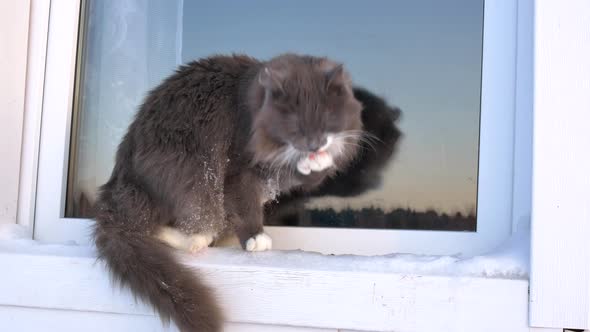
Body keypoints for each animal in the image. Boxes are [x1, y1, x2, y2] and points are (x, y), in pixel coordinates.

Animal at [93, 53, 366, 330]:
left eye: (327, 119)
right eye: (295, 125)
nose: (315, 144)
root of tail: (116, 190)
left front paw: (319, 161)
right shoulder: (238, 171)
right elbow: (246, 208)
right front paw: (255, 237)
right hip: (189, 176)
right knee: (177, 229)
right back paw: (191, 240)